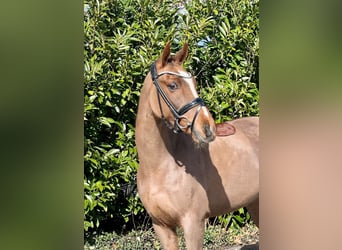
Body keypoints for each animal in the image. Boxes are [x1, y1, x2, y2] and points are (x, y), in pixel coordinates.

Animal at [135, 42, 258, 249]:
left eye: (194, 83)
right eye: (173, 85)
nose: (208, 128)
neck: (158, 167)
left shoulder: (194, 223)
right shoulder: (161, 226)